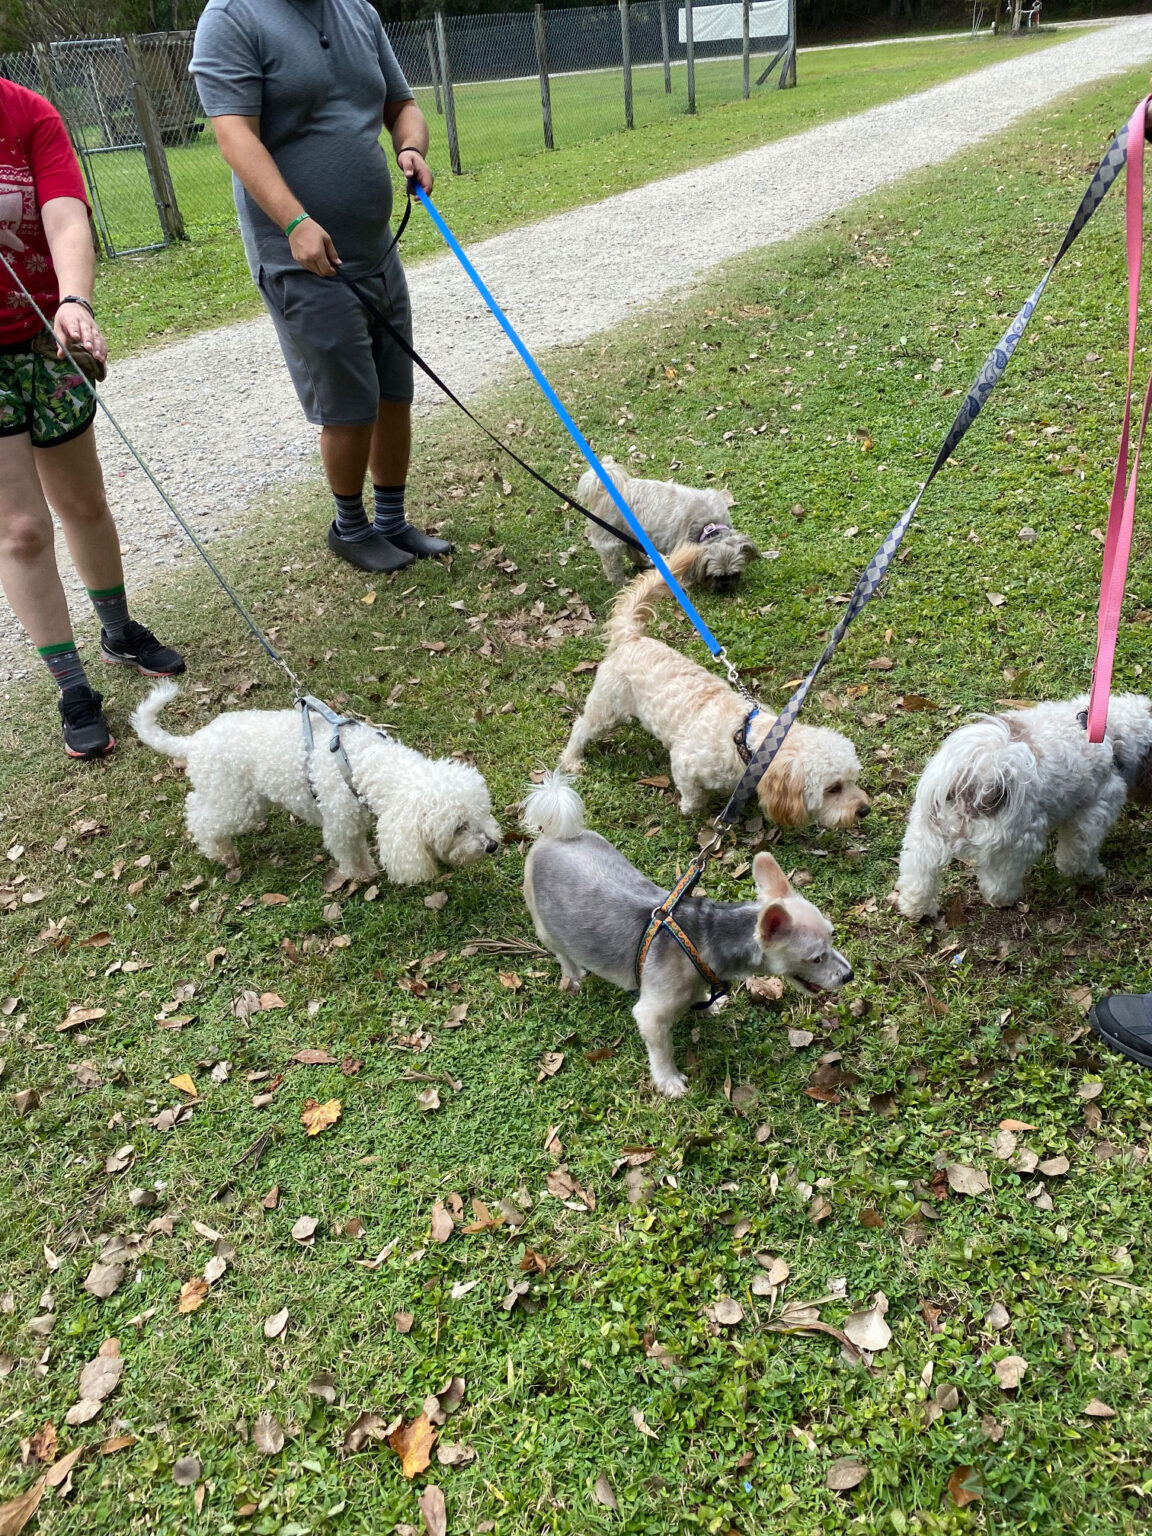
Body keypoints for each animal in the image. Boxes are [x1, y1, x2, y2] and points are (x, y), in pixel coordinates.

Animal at [130, 681, 500, 884]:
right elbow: (350, 852)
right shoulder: (341, 824)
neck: (363, 764)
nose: (494, 845)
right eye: (458, 827)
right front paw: (363, 875)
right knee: (200, 816)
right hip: (237, 802)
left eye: (482, 814)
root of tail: (196, 741)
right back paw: (221, 852)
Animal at [525, 774, 860, 1099]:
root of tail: (551, 836)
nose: (849, 975)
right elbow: (662, 1050)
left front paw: (708, 1006)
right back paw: (574, 975)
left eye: (833, 937)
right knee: (562, 952)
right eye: (815, 958)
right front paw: (669, 1081)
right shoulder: (651, 1016)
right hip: (544, 926)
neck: (706, 938)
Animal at [562, 540, 872, 829]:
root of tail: (633, 637)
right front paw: (690, 809)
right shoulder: (684, 764)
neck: (744, 738)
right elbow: (693, 795)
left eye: (853, 779)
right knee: (581, 727)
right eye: (833, 788)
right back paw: (572, 759)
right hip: (607, 707)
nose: (865, 810)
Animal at [580, 454, 761, 586]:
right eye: (716, 575)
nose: (726, 584)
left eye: (734, 573)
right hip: (610, 540)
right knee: (612, 564)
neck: (709, 525)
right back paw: (620, 581)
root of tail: (604, 490)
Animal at [897, 697, 1152, 921]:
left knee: (918, 875)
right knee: (998, 882)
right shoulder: (1095, 812)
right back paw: (1004, 899)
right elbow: (1077, 855)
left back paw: (916, 908)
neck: (1112, 734)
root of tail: (980, 778)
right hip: (1016, 844)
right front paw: (1093, 873)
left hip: (926, 838)